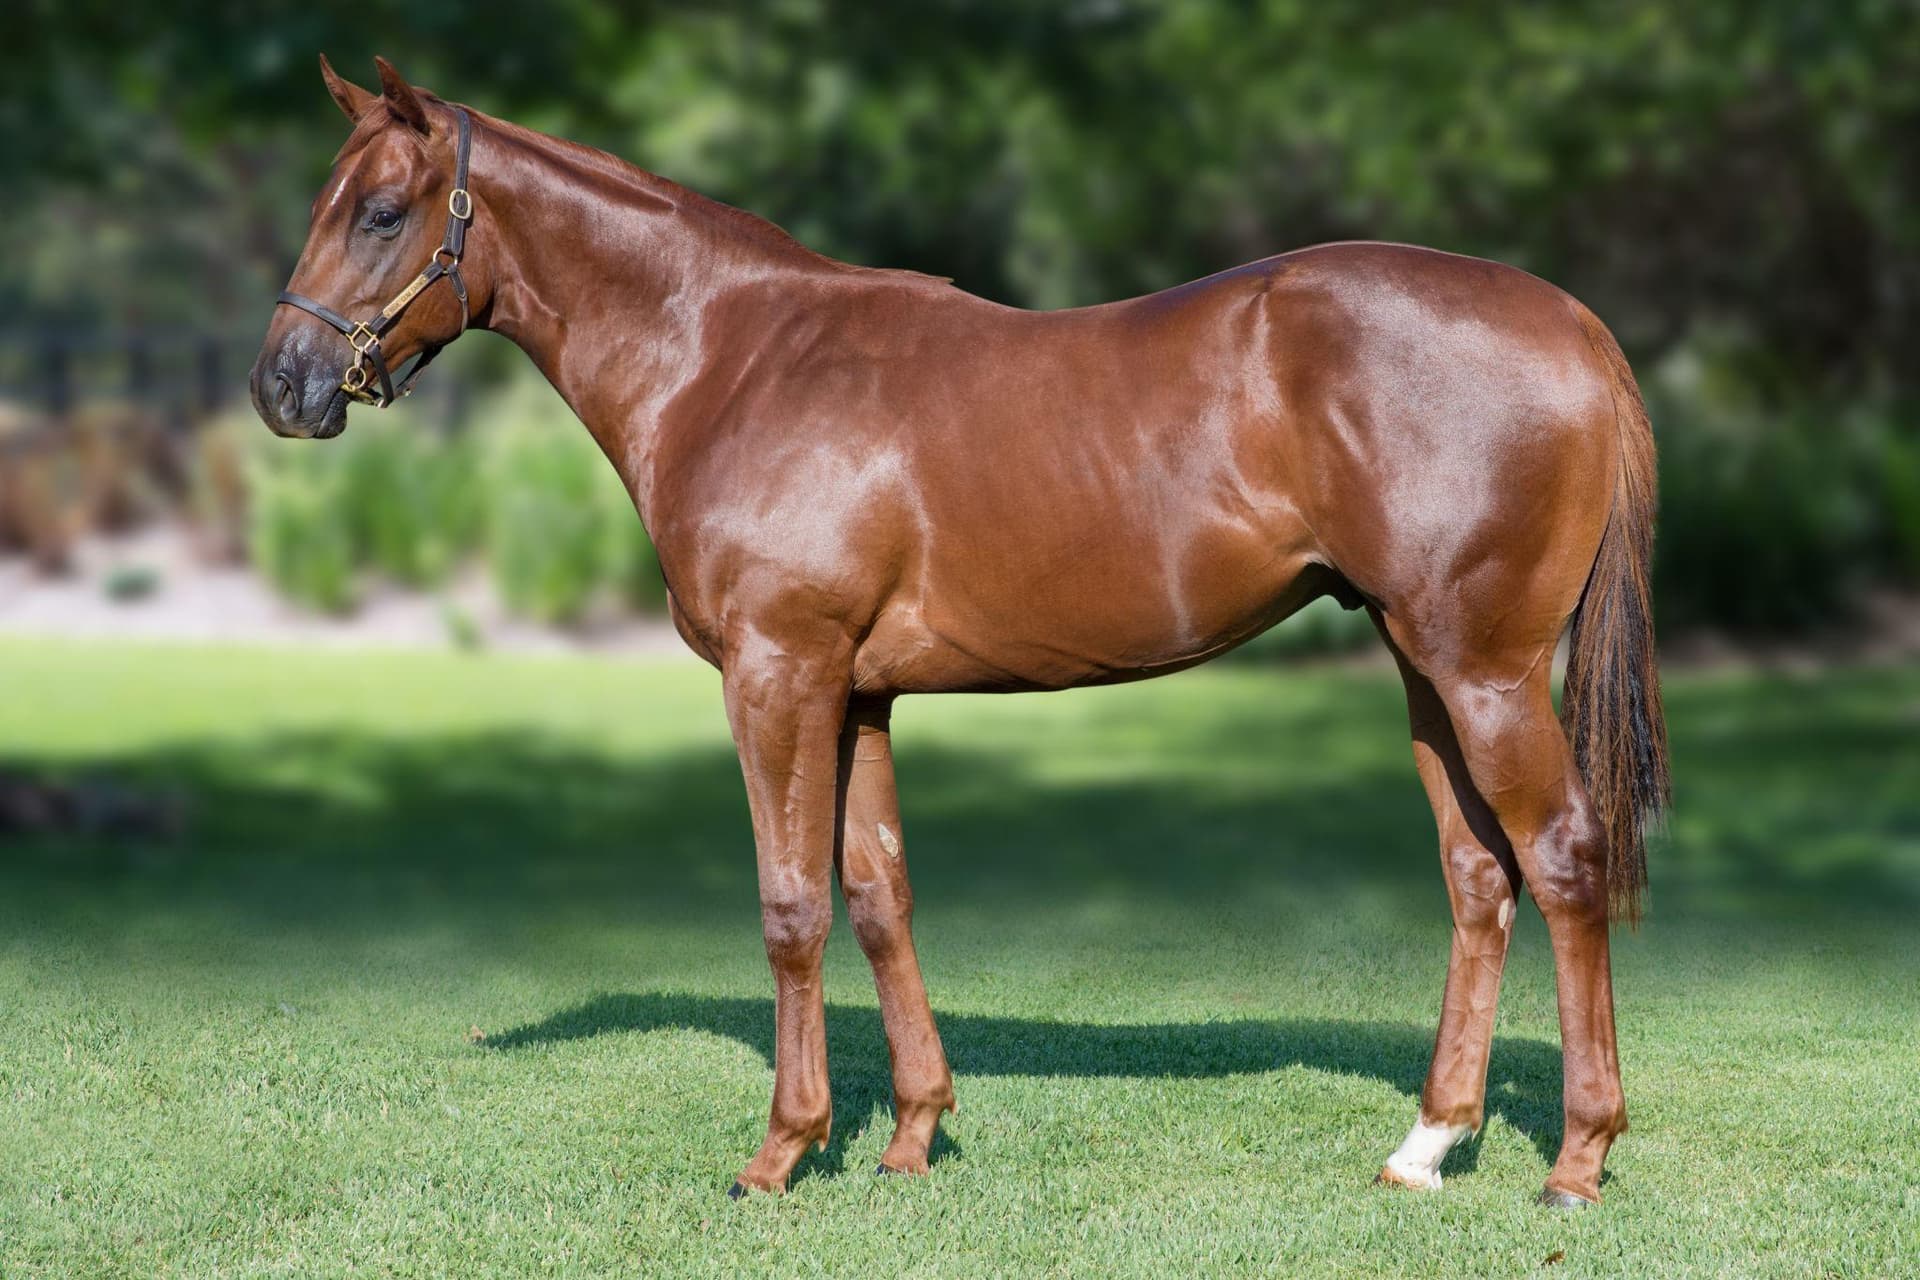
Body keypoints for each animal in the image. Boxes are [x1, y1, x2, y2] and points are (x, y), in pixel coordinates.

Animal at [250, 57, 1669, 1208]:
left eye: (382, 212)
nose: (282, 387)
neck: (734, 357)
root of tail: (1571, 323)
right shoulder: (859, 693)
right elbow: (879, 894)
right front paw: (911, 1134)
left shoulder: (778, 673)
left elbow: (791, 903)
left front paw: (783, 1149)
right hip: (1424, 661)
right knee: (1478, 875)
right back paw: (1428, 1144)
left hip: (1484, 670)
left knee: (1563, 857)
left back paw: (1578, 1156)